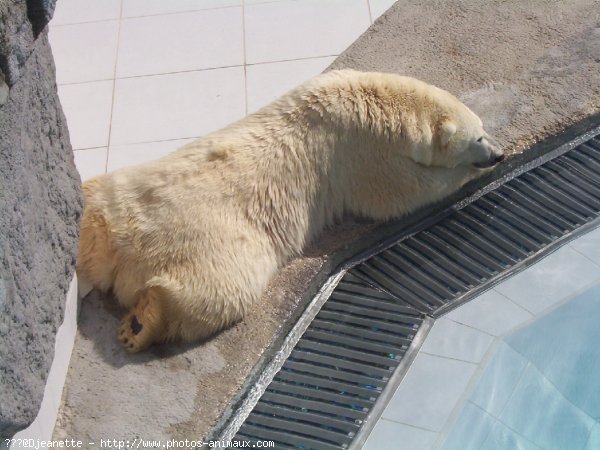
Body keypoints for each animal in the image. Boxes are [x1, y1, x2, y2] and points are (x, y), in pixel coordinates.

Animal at [78, 69, 502, 352]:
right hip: (216, 244)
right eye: (479, 137)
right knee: (215, 292)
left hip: (115, 196)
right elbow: (398, 193)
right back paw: (141, 325)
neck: (376, 100)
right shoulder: (362, 154)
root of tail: (130, 243)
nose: (496, 153)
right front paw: (466, 172)